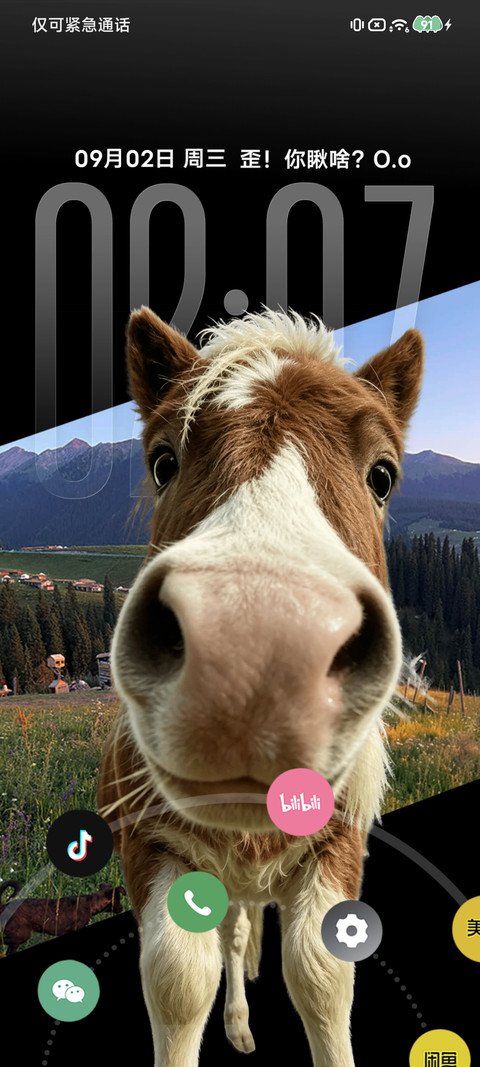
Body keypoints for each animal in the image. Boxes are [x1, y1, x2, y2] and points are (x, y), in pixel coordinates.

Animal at [98, 306, 424, 1066]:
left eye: (383, 474)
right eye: (163, 460)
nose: (255, 645)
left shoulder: (339, 841)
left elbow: (322, 975)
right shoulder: (149, 843)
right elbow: (179, 981)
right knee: (233, 929)